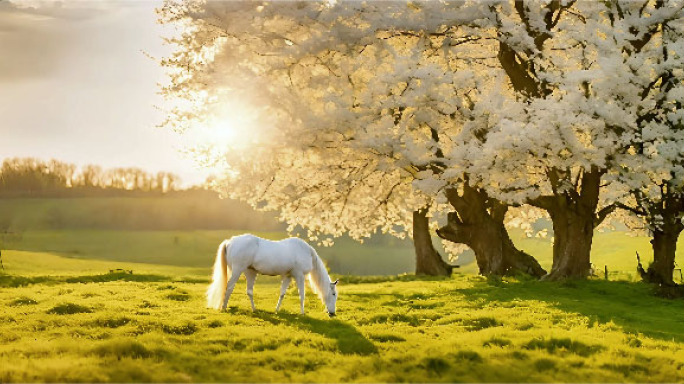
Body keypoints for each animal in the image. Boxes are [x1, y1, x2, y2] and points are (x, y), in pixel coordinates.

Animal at [206, 232, 340, 316]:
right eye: (333, 294)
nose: (332, 313)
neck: (306, 251)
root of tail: (230, 242)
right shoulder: (299, 275)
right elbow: (302, 295)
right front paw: (302, 313)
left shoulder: (288, 276)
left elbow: (282, 294)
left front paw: (276, 310)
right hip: (237, 270)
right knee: (229, 287)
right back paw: (224, 307)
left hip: (250, 272)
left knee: (249, 291)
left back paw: (254, 310)